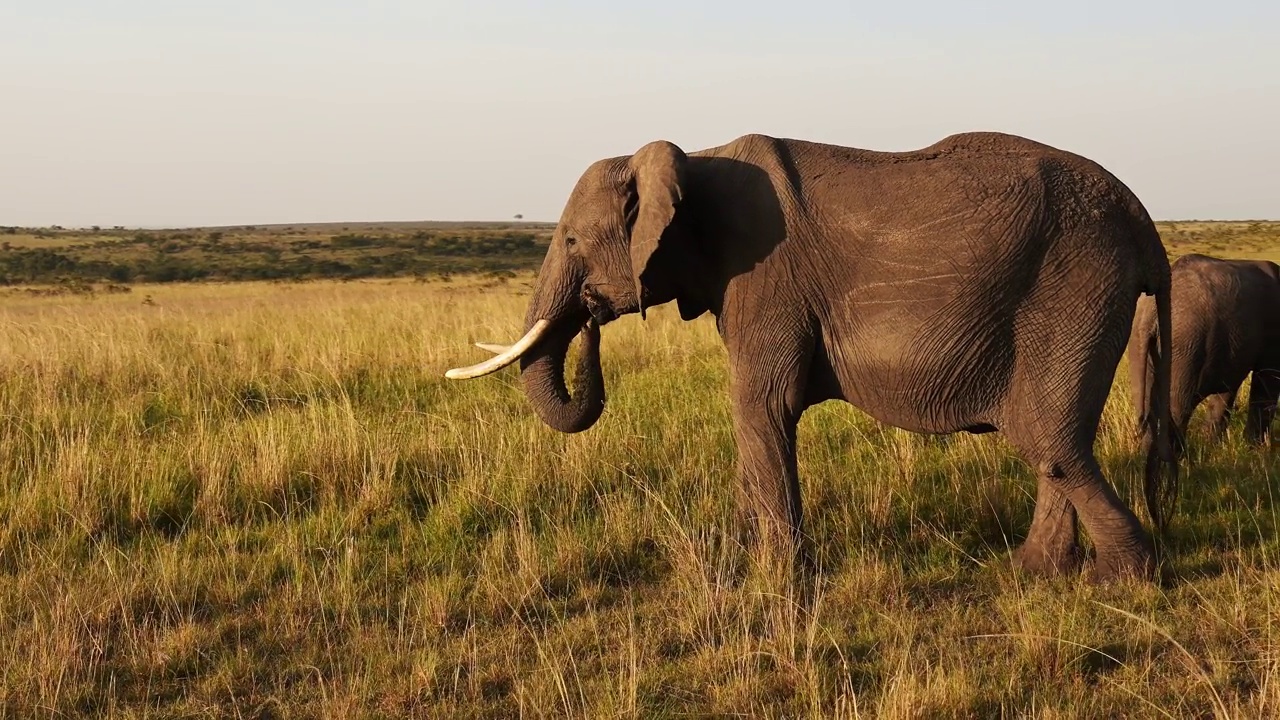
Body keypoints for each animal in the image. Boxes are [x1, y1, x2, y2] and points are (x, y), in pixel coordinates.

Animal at [445, 127, 1172, 576]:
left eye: (570, 241)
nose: (591, 317)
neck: (691, 157)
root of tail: (1145, 226)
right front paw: (746, 560)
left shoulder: (765, 276)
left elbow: (761, 406)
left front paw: (777, 579)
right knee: (1055, 442)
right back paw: (1036, 573)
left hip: (1074, 285)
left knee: (1050, 439)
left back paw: (1122, 581)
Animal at [1131, 252, 1280, 461]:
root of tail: (1149, 313)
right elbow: (1268, 381)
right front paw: (1255, 450)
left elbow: (1227, 389)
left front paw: (1215, 446)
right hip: (1184, 342)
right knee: (1177, 405)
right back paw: (1178, 460)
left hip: (1140, 340)